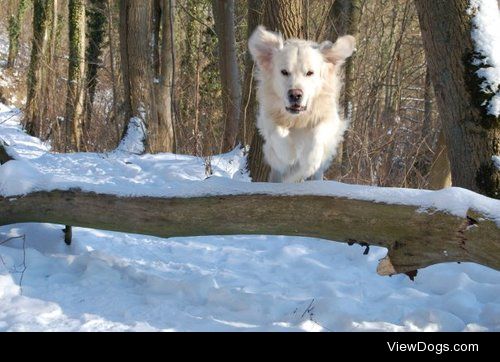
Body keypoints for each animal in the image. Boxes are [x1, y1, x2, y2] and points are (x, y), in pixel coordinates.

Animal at [250, 26, 356, 182]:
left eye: (310, 73)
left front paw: (309, 161)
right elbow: (277, 132)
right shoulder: (268, 118)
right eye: (284, 72)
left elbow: (317, 134)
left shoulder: (329, 118)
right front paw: (289, 155)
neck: (298, 119)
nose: (295, 94)